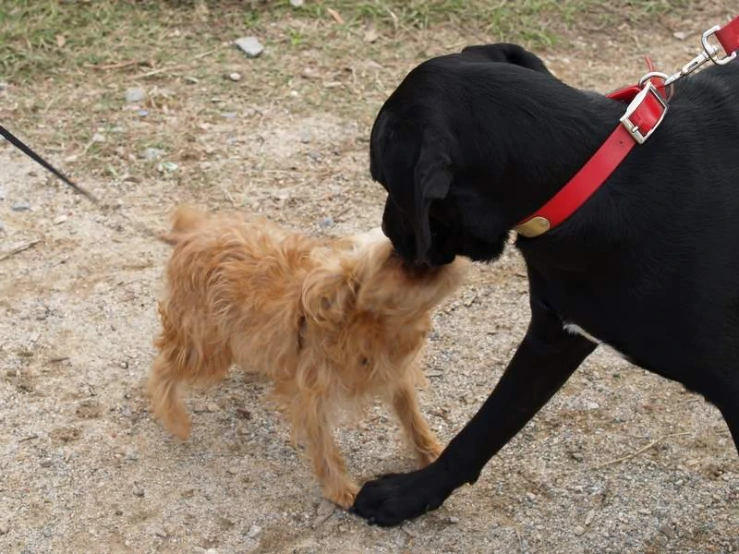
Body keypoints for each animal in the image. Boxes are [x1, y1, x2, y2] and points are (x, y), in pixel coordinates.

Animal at [147, 206, 468, 504]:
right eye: (396, 253)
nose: (439, 248)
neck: (372, 325)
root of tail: (194, 233)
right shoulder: (313, 395)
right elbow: (324, 445)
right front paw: (341, 489)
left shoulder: (395, 375)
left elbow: (412, 417)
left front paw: (432, 453)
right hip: (205, 348)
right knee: (162, 370)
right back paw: (173, 417)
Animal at [352, 42, 739, 520]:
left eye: (381, 178)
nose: (388, 231)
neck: (591, 181)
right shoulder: (555, 332)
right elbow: (486, 425)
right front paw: (413, 493)